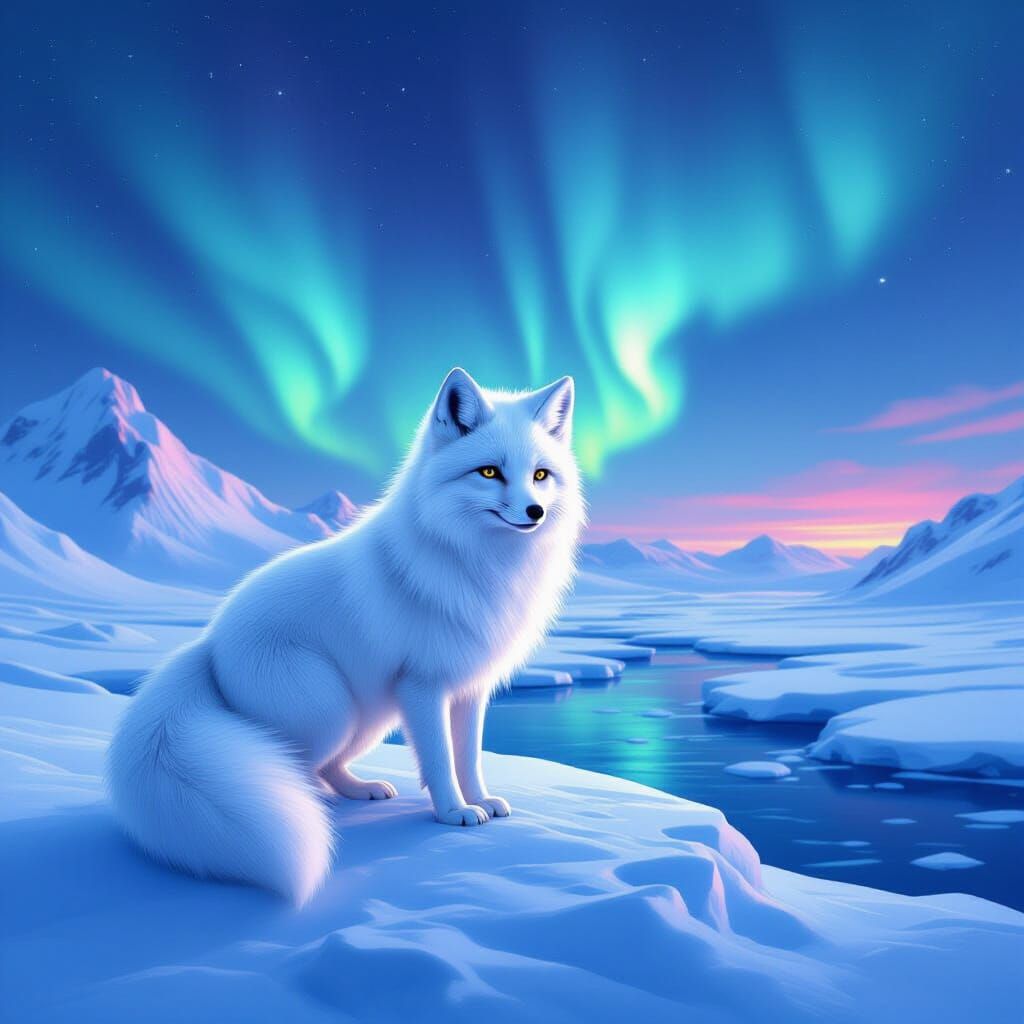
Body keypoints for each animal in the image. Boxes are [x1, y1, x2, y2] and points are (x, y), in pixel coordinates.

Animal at [107, 367, 584, 905]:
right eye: (488, 473)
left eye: (540, 475)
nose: (534, 511)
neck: (481, 563)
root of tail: (209, 643)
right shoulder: (422, 686)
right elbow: (440, 760)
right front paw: (452, 813)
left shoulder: (469, 687)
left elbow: (469, 756)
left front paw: (480, 799)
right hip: (331, 709)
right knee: (293, 766)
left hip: (369, 716)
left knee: (327, 767)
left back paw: (360, 790)